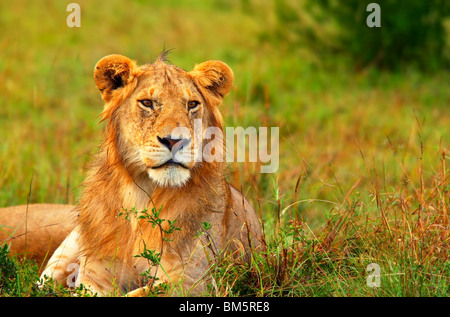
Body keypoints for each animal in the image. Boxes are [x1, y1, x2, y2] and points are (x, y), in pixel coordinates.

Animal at [2, 52, 264, 296]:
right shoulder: (93, 276)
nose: (175, 141)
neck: (143, 194)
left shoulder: (194, 281)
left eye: (192, 105)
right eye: (147, 103)